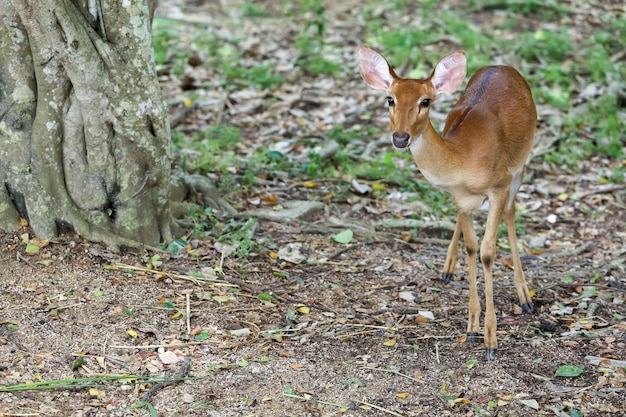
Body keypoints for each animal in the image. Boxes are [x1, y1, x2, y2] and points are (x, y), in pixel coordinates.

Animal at [356, 44, 536, 360]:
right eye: (390, 99)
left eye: (425, 101)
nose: (400, 137)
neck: (463, 158)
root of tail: (502, 66)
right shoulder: (459, 197)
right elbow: (472, 247)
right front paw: (472, 328)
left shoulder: (499, 184)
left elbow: (488, 251)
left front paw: (491, 341)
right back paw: (448, 268)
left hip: (521, 162)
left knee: (511, 212)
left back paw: (525, 297)